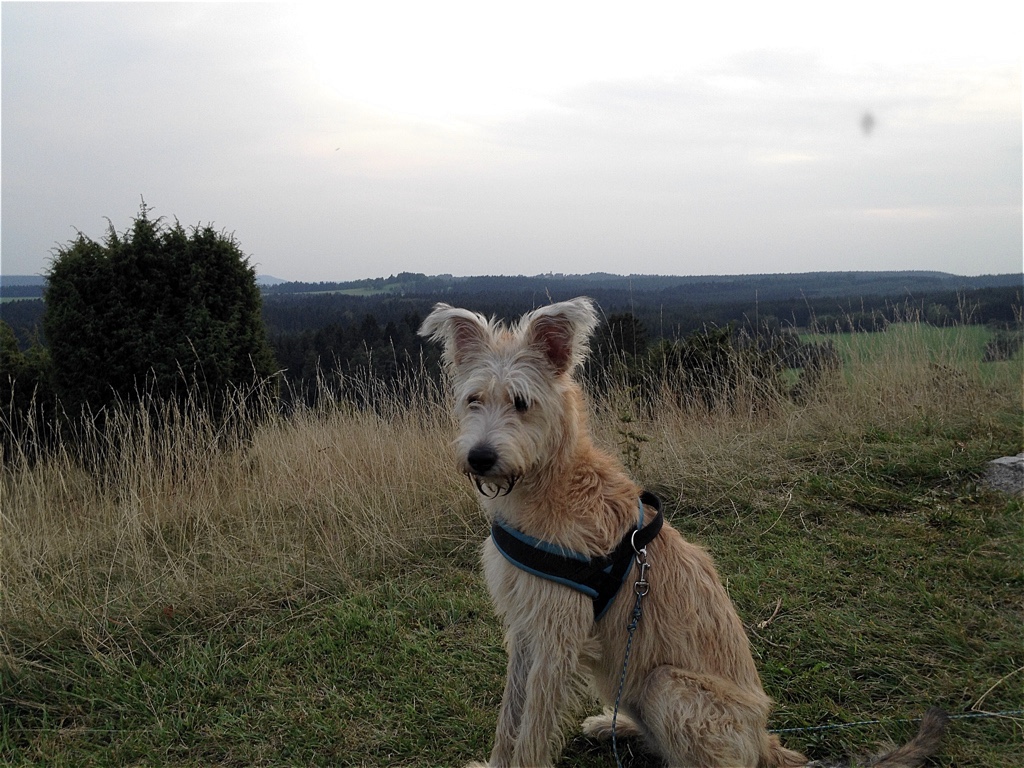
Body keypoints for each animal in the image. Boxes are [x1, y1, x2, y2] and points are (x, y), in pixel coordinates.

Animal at [419, 297, 946, 768]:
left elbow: (531, 729)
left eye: (522, 402)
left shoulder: (556, 636)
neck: (552, 484)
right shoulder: (526, 629)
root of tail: (764, 740)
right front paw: (493, 763)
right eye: (474, 400)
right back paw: (613, 724)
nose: (480, 458)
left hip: (666, 684)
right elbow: (509, 718)